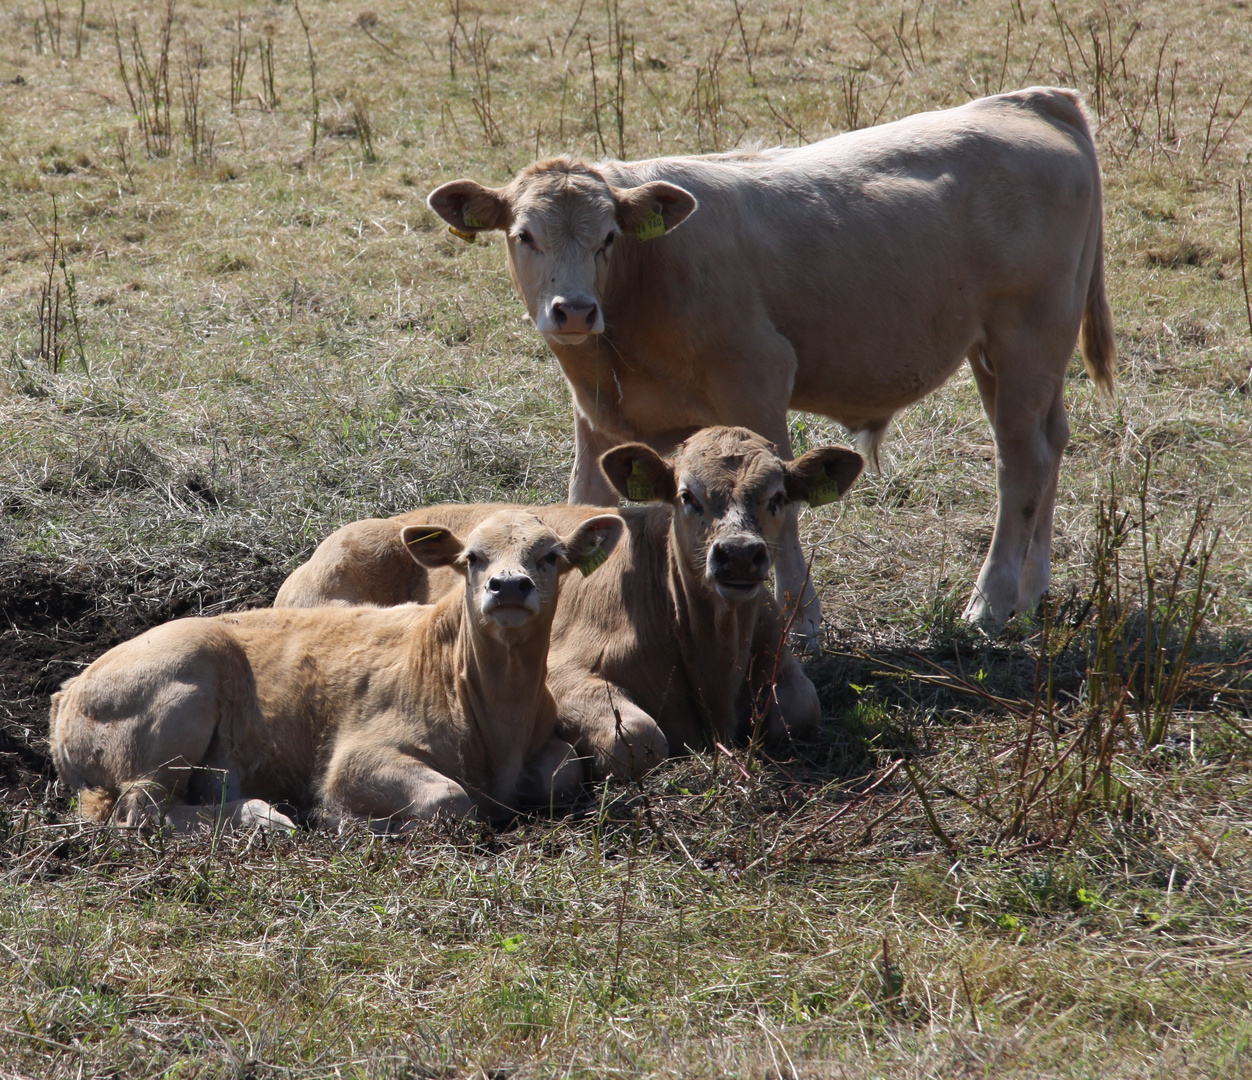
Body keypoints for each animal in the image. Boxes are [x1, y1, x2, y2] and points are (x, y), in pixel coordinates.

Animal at [50, 510, 626, 830]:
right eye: (472, 558)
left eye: (551, 556)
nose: (508, 587)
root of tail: (68, 690)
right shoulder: (355, 756)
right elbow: (449, 800)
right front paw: (348, 822)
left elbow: (565, 770)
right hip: (175, 701)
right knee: (138, 812)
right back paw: (262, 819)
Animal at [274, 427, 861, 775]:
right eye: (687, 496)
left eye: (778, 497)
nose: (739, 554)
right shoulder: (564, 672)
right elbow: (639, 738)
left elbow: (800, 710)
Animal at [430, 88, 1116, 640]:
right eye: (524, 234)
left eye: (608, 237)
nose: (573, 310)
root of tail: (1031, 101)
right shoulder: (597, 419)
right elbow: (586, 510)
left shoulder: (757, 380)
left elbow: (781, 508)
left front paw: (801, 624)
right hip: (1007, 355)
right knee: (1050, 444)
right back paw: (1032, 592)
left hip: (1027, 335)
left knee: (1021, 462)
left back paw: (992, 602)